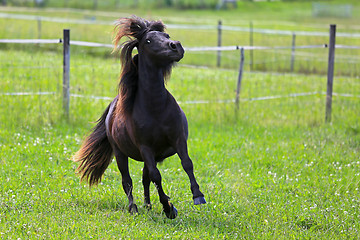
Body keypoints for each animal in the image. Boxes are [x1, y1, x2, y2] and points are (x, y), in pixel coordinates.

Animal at [73, 15, 205, 218]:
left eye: (167, 35)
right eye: (148, 41)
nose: (176, 46)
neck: (156, 108)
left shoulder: (178, 139)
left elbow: (186, 164)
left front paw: (197, 195)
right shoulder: (145, 147)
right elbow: (156, 176)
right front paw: (169, 208)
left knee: (145, 178)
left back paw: (148, 205)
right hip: (120, 154)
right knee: (128, 180)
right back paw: (133, 208)